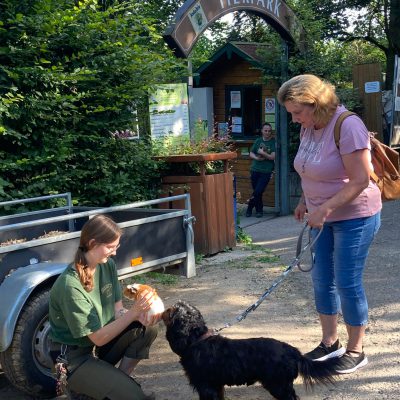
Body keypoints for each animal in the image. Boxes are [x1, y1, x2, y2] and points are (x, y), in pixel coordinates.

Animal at [161, 302, 340, 400]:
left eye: (172, 309)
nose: (163, 310)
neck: (197, 339)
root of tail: (293, 351)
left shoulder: (206, 386)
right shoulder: (217, 386)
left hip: (279, 385)